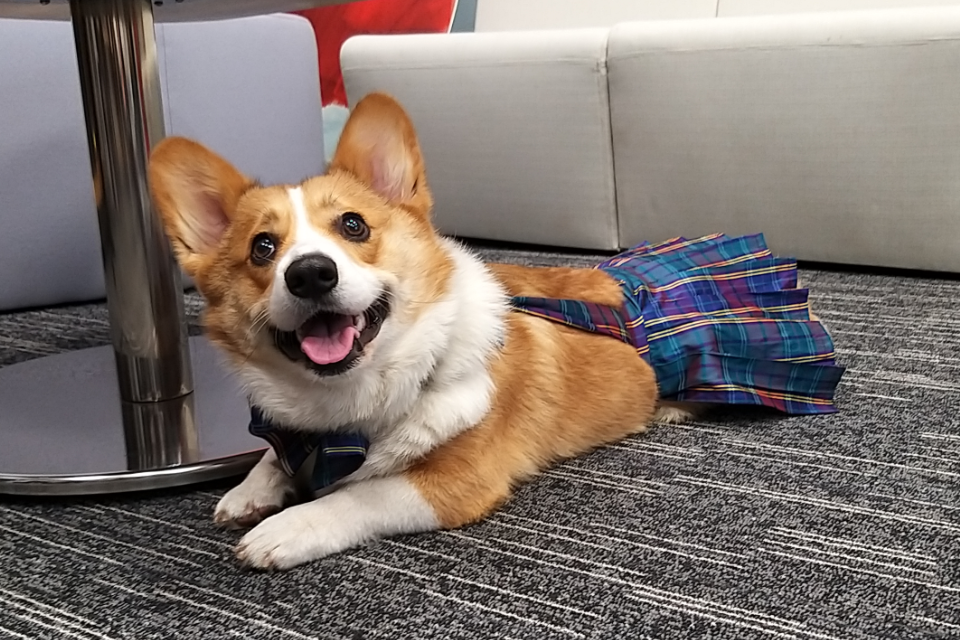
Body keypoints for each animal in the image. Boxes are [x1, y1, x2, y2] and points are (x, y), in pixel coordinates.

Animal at [150, 91, 840, 568]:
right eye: (263, 248)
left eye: (352, 226)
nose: (311, 274)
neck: (352, 401)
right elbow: (274, 454)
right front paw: (250, 492)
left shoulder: (457, 481)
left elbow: (353, 496)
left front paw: (284, 529)